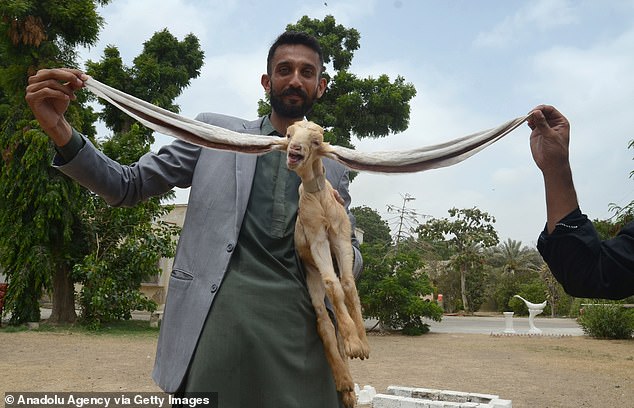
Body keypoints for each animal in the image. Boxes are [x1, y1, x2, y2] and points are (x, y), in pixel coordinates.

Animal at [284, 119, 368, 406]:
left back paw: (350, 391)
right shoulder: (317, 238)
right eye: (288, 134)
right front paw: (355, 343)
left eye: (317, 140)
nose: (295, 149)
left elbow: (349, 285)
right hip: (312, 277)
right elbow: (334, 284)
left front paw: (362, 343)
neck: (319, 198)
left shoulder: (340, 236)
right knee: (323, 320)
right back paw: (343, 381)